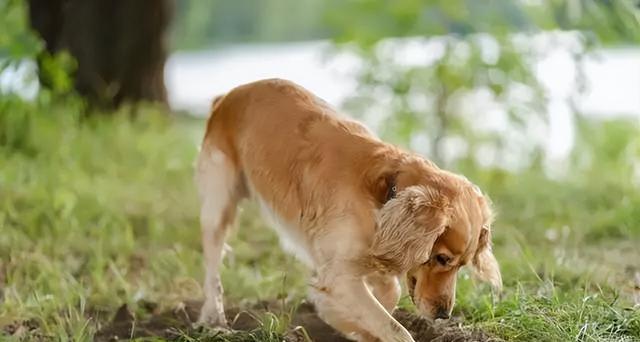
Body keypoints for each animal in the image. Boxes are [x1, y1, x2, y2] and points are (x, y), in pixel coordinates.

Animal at [194, 79, 500, 340]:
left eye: (462, 265)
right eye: (442, 258)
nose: (443, 315)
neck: (383, 197)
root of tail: (228, 96)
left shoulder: (368, 256)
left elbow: (389, 293)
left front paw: (349, 324)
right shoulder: (339, 275)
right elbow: (395, 328)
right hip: (217, 206)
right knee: (212, 271)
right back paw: (214, 319)